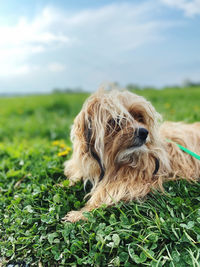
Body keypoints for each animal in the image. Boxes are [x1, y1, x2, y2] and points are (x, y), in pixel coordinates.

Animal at [61, 89, 199, 223]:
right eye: (117, 120)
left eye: (140, 117)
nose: (144, 132)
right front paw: (63, 185)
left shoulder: (135, 183)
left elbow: (106, 194)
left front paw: (81, 213)